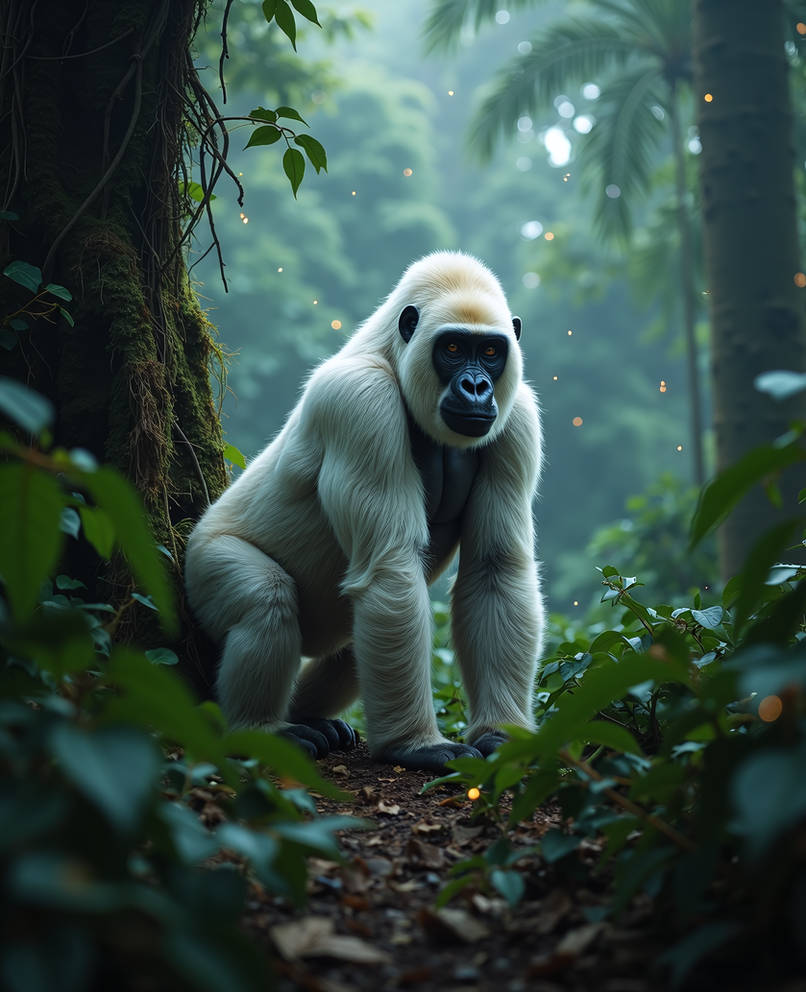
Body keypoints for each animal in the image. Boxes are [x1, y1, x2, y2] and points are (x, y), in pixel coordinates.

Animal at [184, 251, 544, 772]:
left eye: (492, 353)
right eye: (454, 348)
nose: (477, 386)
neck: (393, 354)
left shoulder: (519, 417)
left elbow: (494, 569)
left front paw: (501, 732)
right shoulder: (360, 401)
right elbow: (390, 566)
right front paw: (415, 745)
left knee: (354, 646)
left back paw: (309, 717)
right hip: (200, 561)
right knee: (264, 598)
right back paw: (260, 730)